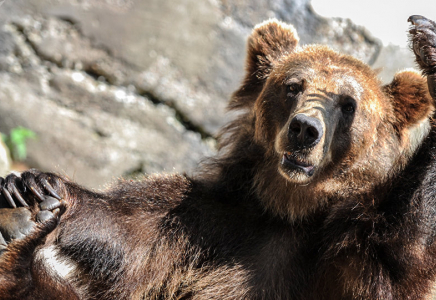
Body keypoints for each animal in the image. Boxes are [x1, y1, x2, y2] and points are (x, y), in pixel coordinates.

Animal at [0, 15, 436, 300]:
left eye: (348, 105)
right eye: (293, 86)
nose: (304, 130)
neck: (290, 209)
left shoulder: (349, 254)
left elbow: (407, 248)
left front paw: (429, 46)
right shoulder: (211, 222)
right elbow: (125, 230)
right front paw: (35, 187)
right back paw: (22, 224)